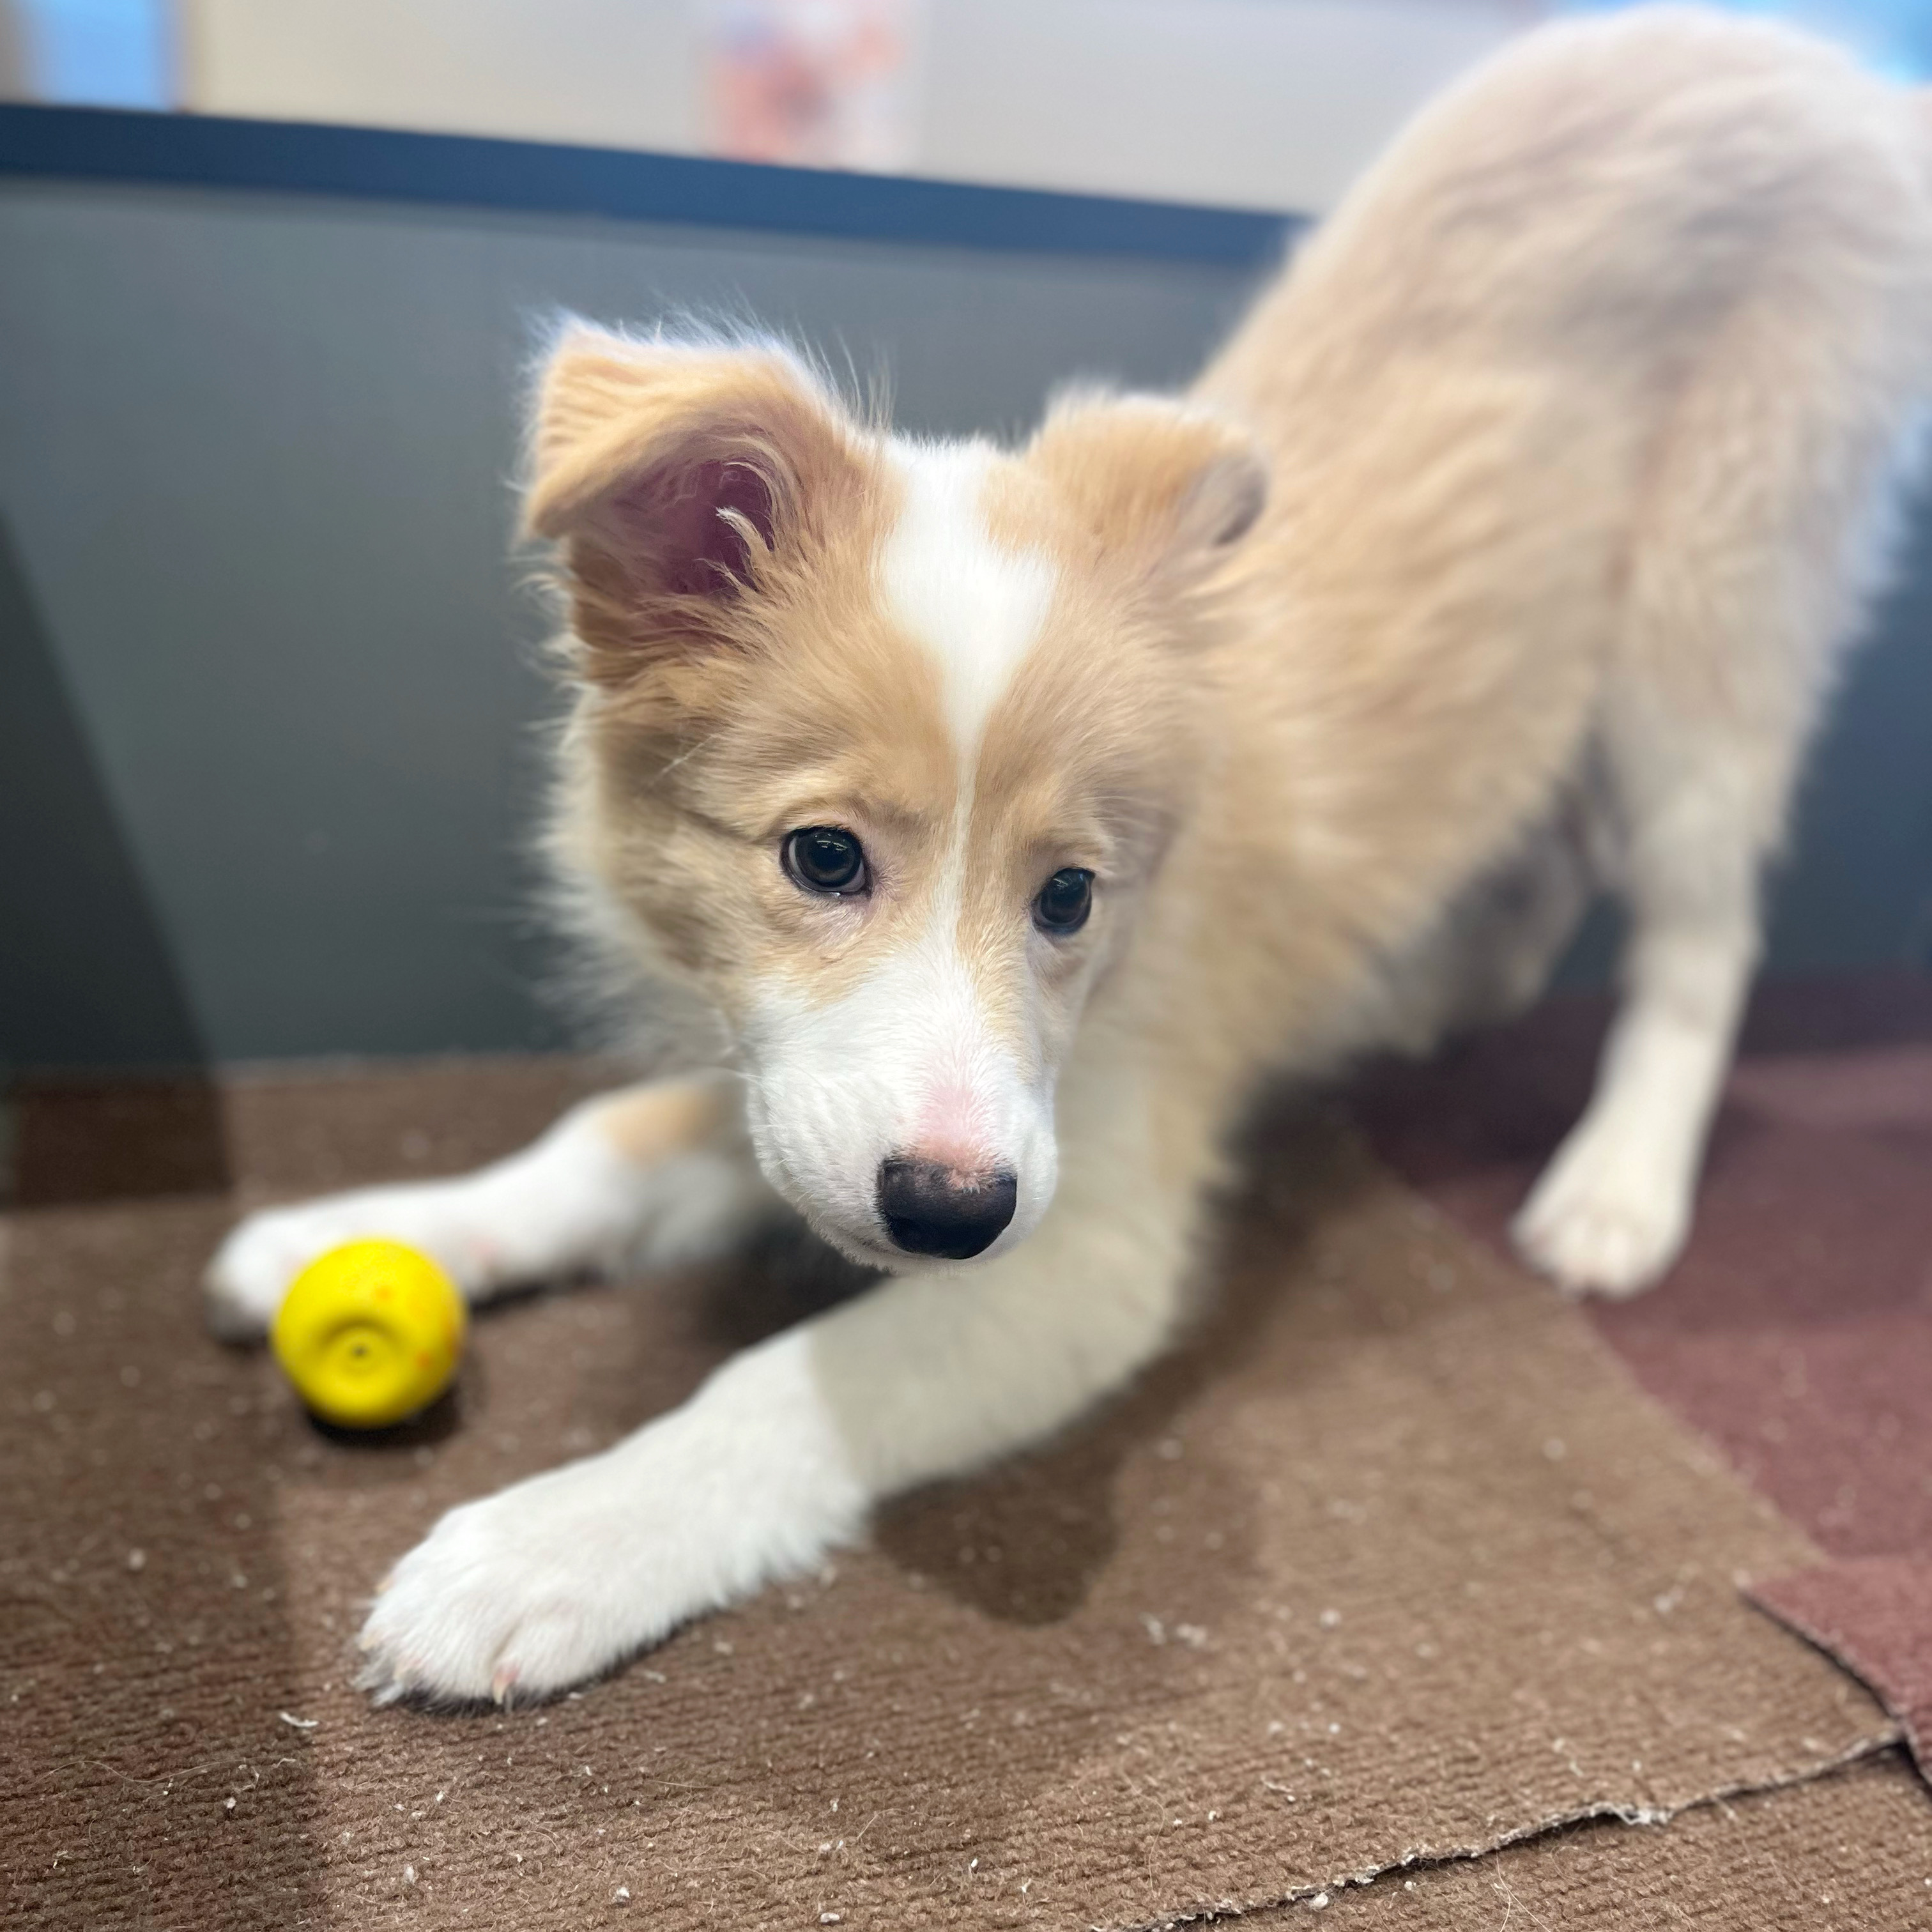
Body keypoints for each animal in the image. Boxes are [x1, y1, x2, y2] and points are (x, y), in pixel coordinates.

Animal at [207, 6, 1932, 1704]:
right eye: (822, 859)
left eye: (1069, 897)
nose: (950, 1213)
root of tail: (1809, 66)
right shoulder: (792, 1087)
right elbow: (595, 1147)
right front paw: (344, 1236)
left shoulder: (1081, 1247)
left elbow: (790, 1383)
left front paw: (547, 1550)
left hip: (1709, 620)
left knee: (1701, 934)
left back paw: (1616, 1191)